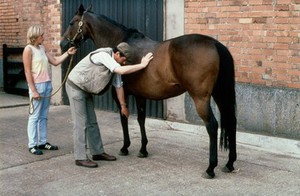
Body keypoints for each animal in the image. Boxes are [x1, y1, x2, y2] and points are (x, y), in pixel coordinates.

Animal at [61, 4, 237, 179]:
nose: (63, 44)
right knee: (231, 122)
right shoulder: (141, 95)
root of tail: (214, 44)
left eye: (72, 22)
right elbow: (141, 119)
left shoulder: (120, 94)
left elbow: (124, 118)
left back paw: (210, 168)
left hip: (201, 98)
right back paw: (229, 164)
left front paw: (125, 147)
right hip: (220, 94)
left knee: (212, 126)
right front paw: (143, 150)